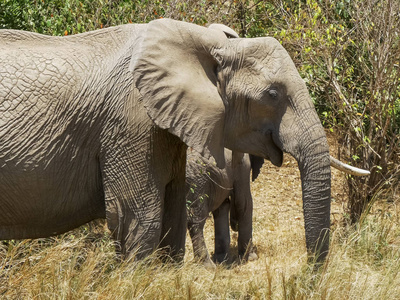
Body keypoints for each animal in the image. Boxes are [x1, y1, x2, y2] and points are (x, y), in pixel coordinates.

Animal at [0, 18, 368, 262]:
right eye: (273, 94)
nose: (309, 272)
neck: (203, 39)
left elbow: (172, 215)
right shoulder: (129, 122)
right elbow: (139, 219)